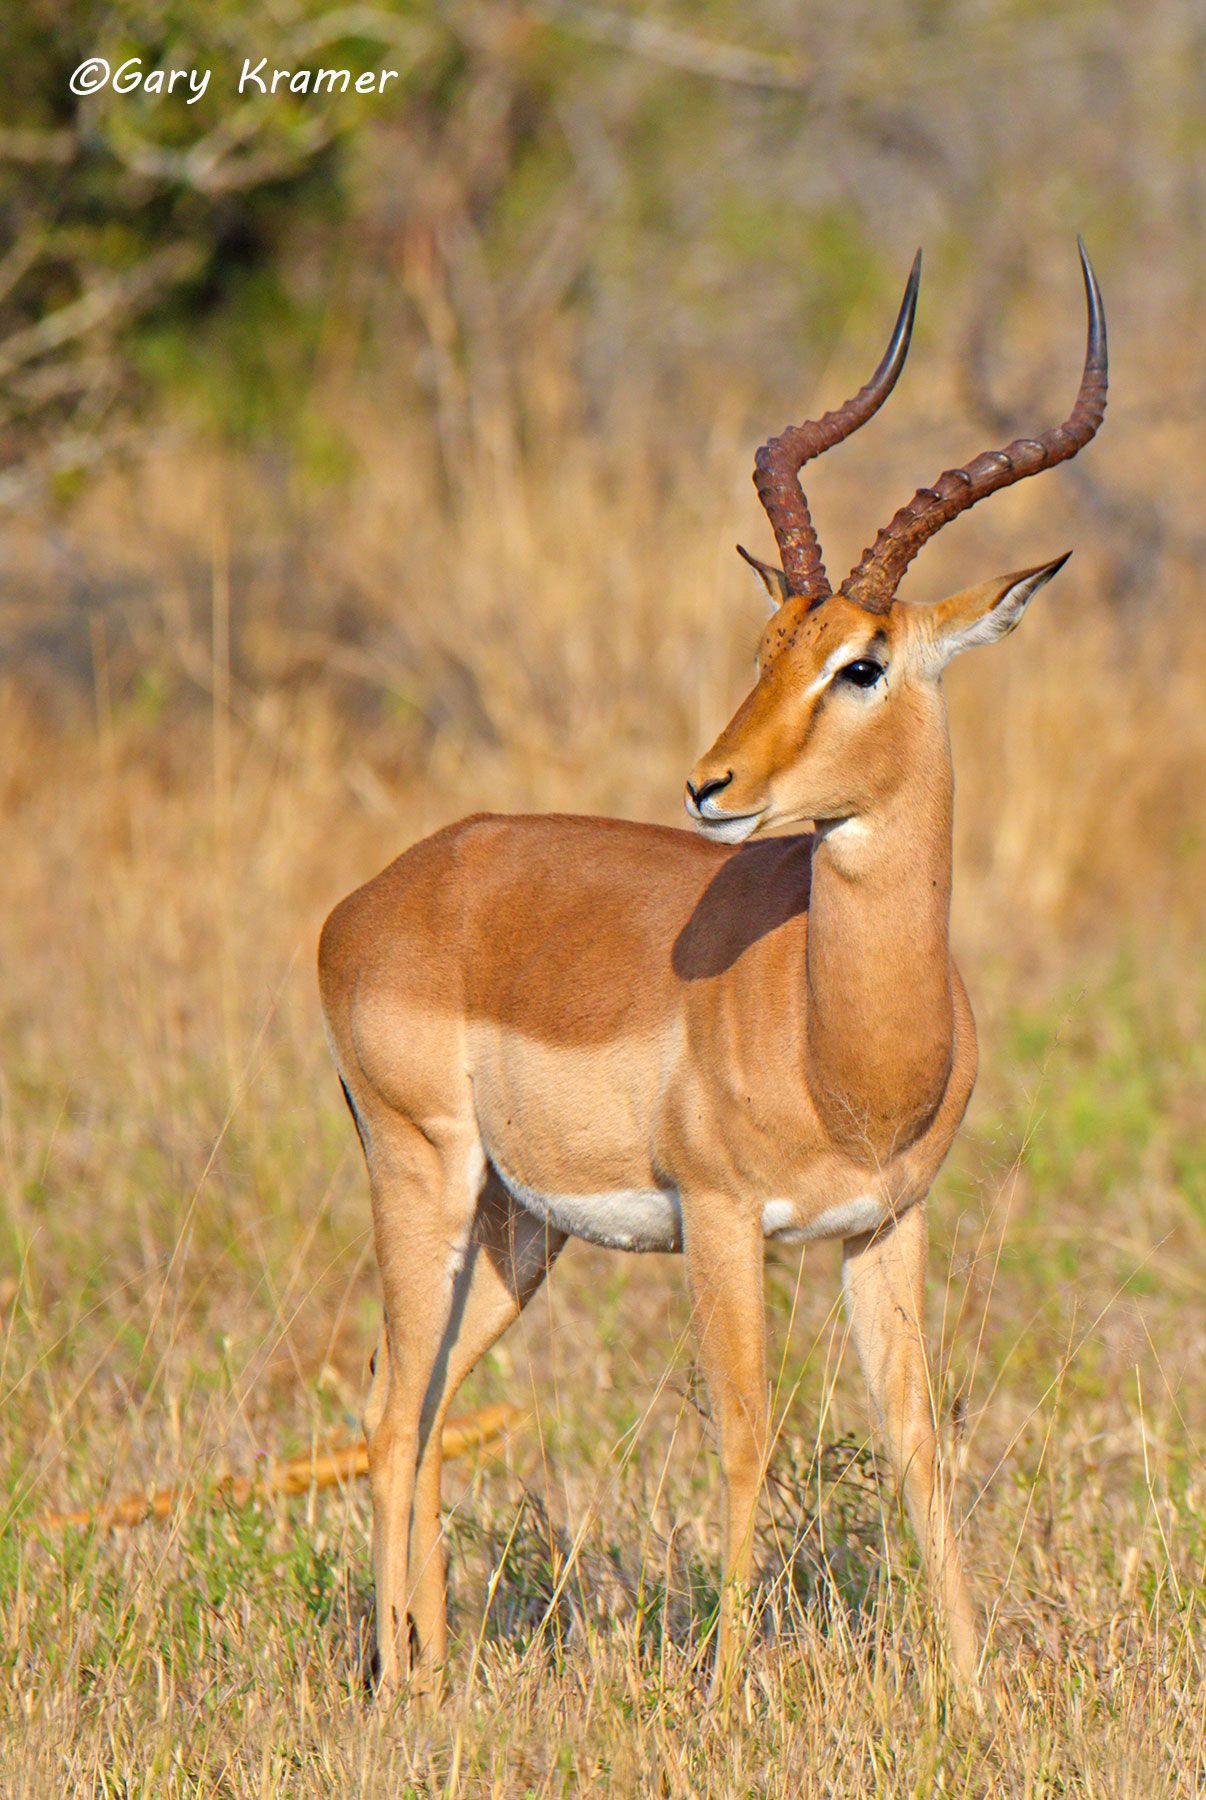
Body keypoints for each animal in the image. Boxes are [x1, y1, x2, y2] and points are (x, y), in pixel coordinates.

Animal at [318, 243, 1108, 1699]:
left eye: (860, 662)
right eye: (767, 649)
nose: (710, 785)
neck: (840, 1039)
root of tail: (375, 898)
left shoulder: (885, 1228)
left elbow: (922, 1444)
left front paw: (976, 1697)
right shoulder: (727, 1222)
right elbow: (746, 1435)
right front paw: (729, 1698)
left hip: (515, 1227)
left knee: (428, 1402)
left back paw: (440, 1673)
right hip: (423, 1176)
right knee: (392, 1414)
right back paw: (401, 1691)